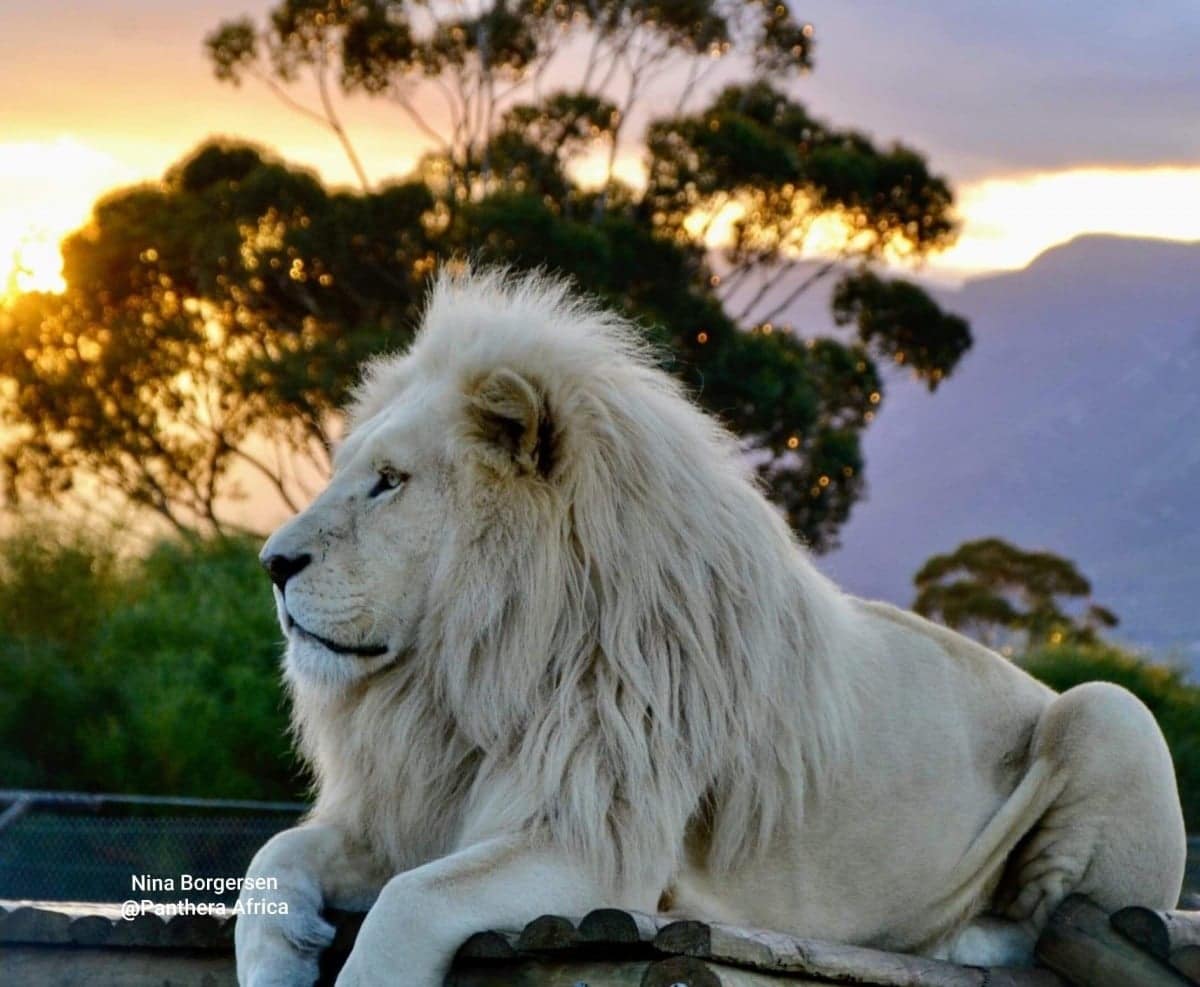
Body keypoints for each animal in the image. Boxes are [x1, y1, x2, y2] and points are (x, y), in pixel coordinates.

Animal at [238, 266, 1185, 984]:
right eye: (352, 472)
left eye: (389, 482)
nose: (272, 563)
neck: (463, 674)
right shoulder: (413, 811)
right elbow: (271, 859)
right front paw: (283, 953)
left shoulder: (601, 845)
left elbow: (412, 901)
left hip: (1110, 712)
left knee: (1052, 917)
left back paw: (959, 935)